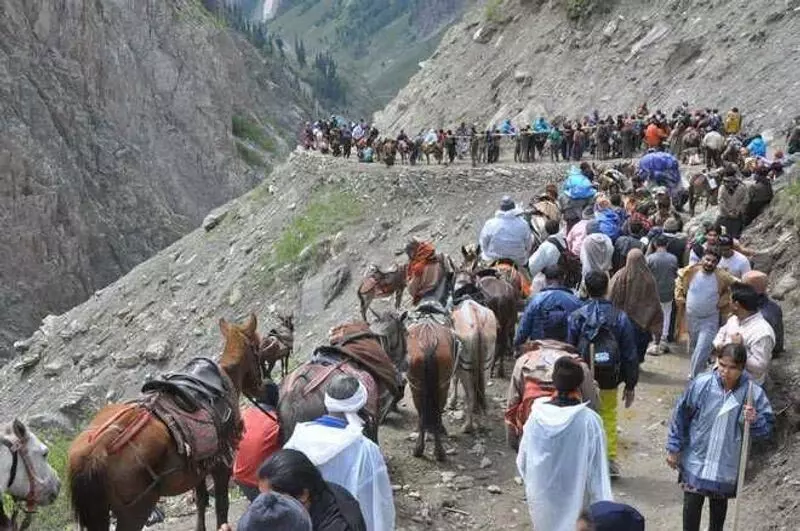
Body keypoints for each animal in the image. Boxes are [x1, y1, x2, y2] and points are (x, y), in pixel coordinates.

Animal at [68, 316, 262, 531]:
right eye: (258, 346)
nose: (260, 387)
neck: (222, 380)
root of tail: (97, 449)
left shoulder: (199, 468)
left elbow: (201, 502)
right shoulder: (221, 464)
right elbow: (221, 507)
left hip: (101, 513)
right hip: (136, 510)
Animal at [406, 310, 456, 464]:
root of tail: (428, 342)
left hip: (418, 386)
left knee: (423, 414)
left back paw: (420, 449)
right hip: (441, 385)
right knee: (436, 413)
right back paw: (438, 451)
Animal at [450, 274, 494, 436]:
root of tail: (477, 323)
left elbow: (454, 378)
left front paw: (452, 401)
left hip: (466, 366)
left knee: (470, 395)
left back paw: (468, 426)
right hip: (486, 364)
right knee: (481, 392)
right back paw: (482, 423)